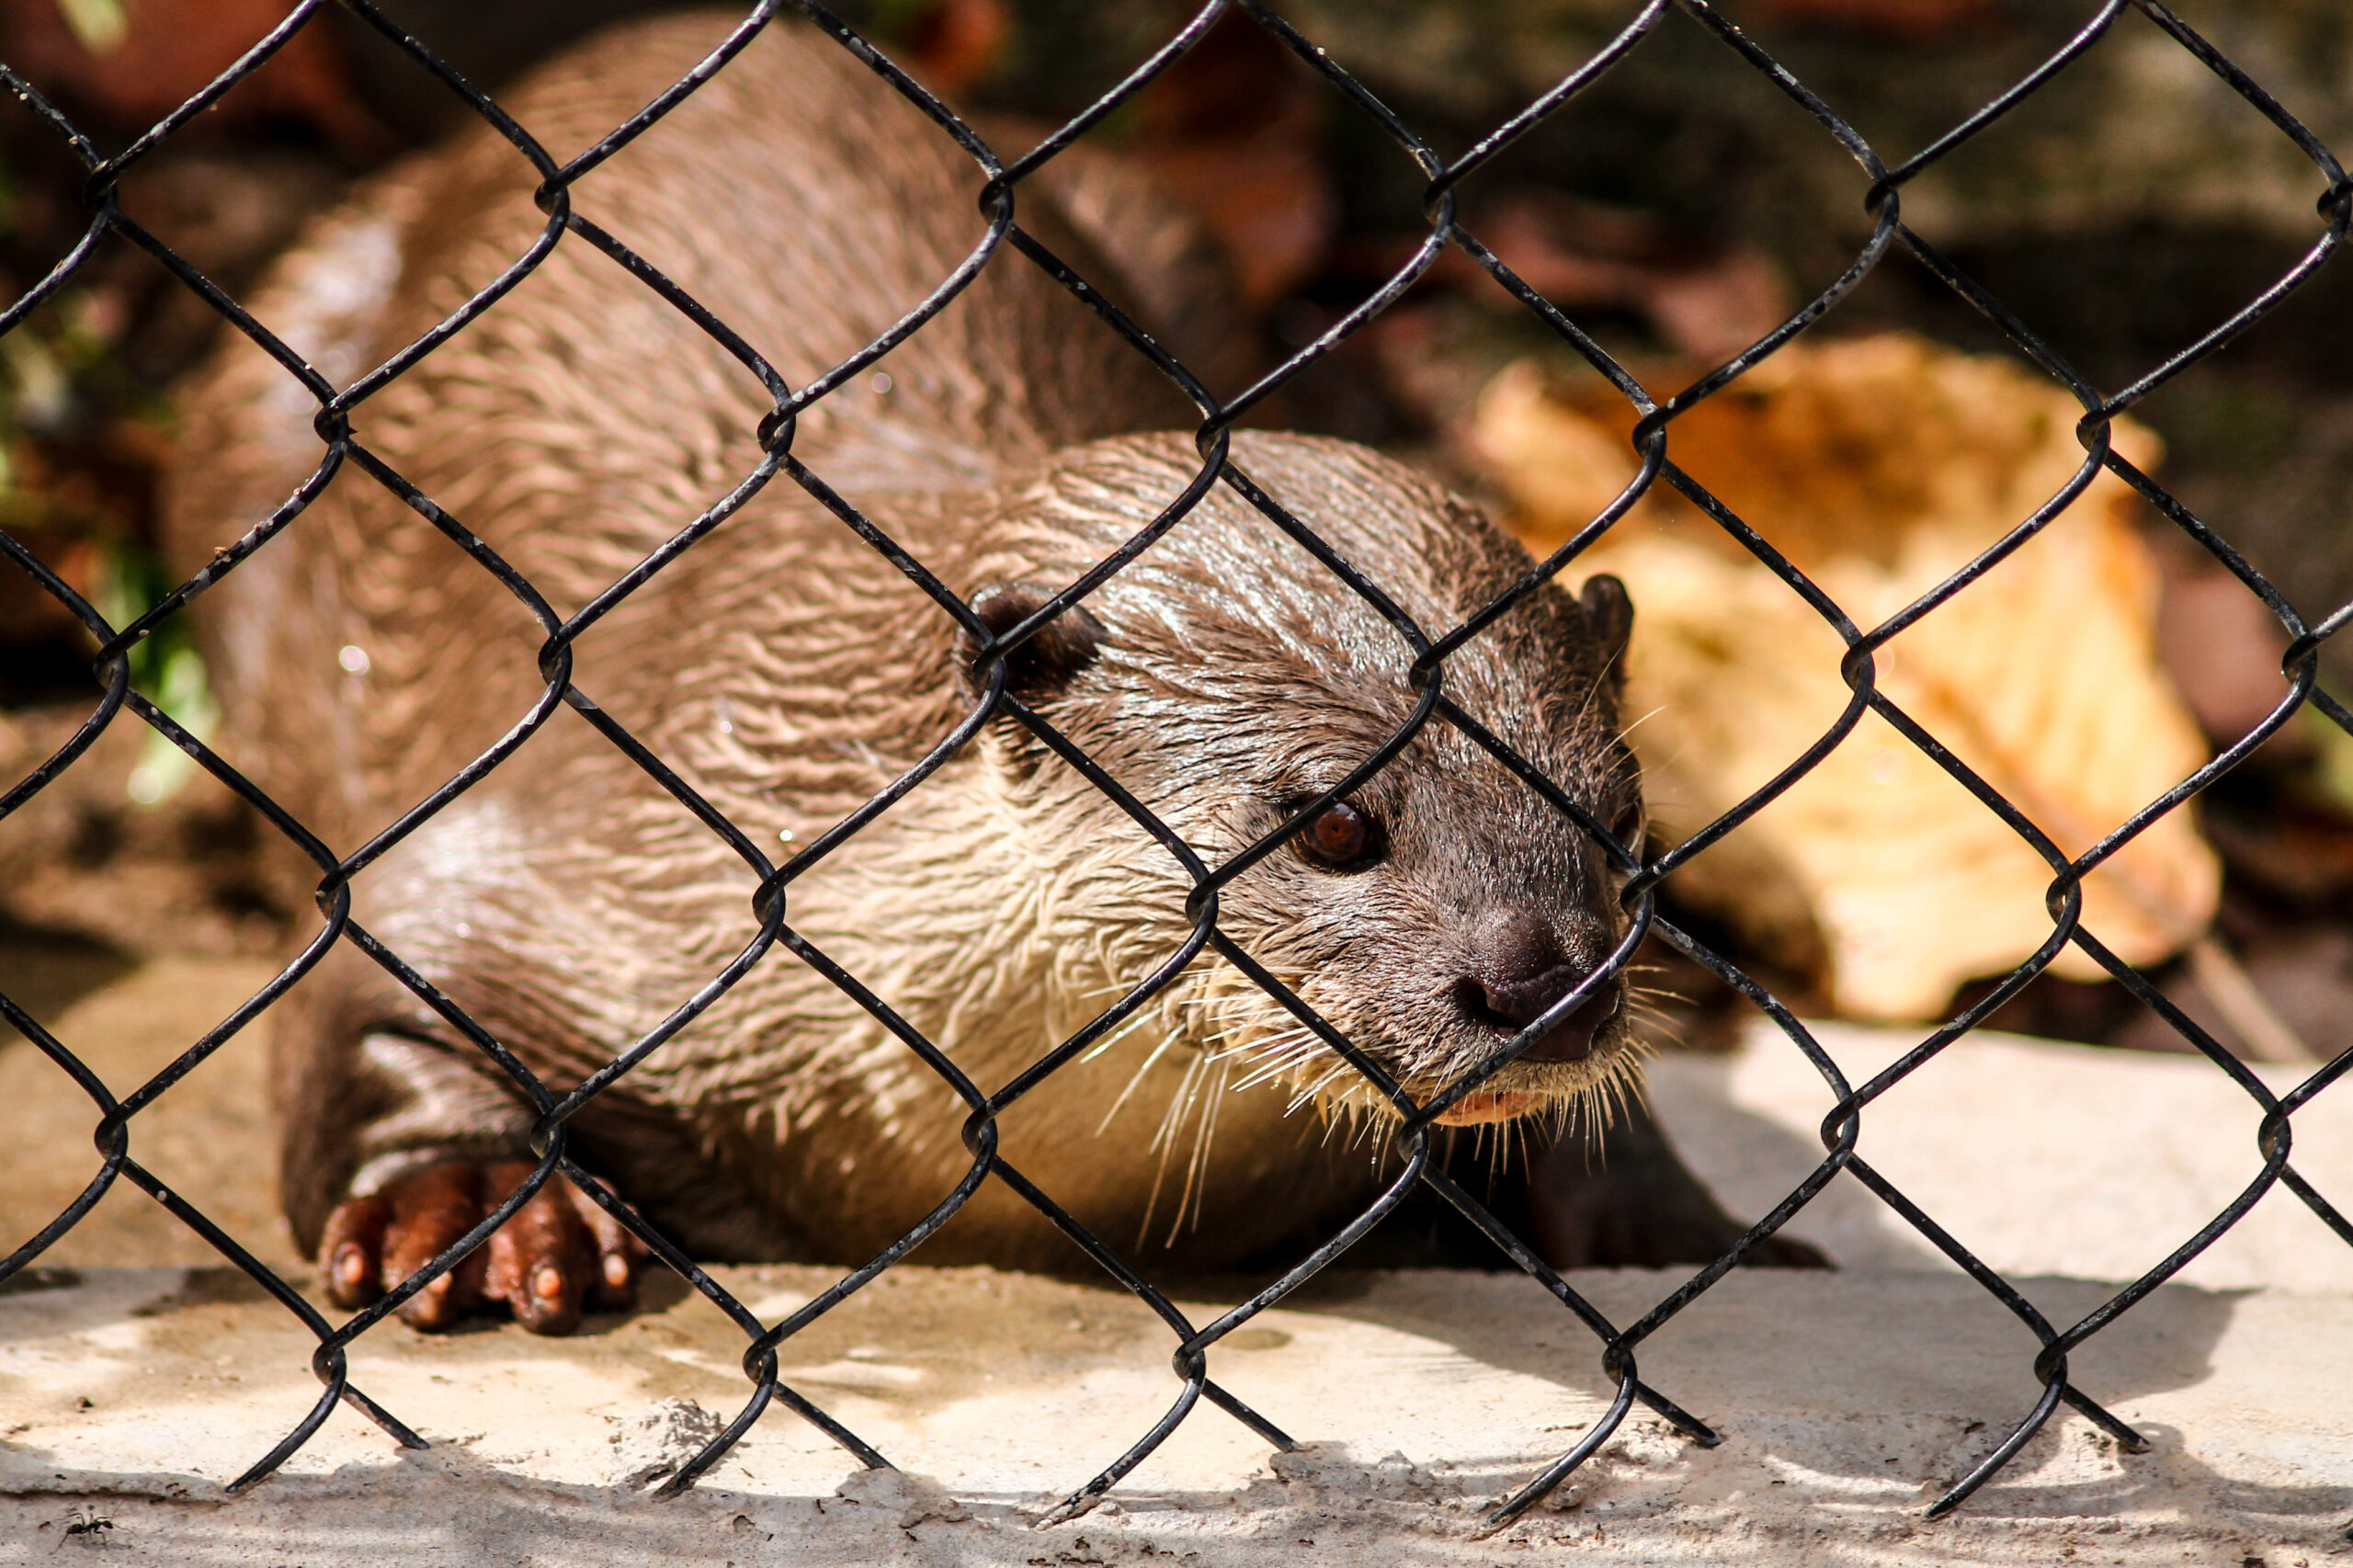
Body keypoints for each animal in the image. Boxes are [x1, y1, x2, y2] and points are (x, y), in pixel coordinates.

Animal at [165, 12, 1814, 1334]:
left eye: (1625, 825)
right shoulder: (568, 848)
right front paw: (469, 1207)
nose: (1548, 987)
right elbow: (374, 989)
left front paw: (1674, 1229)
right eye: (1337, 820)